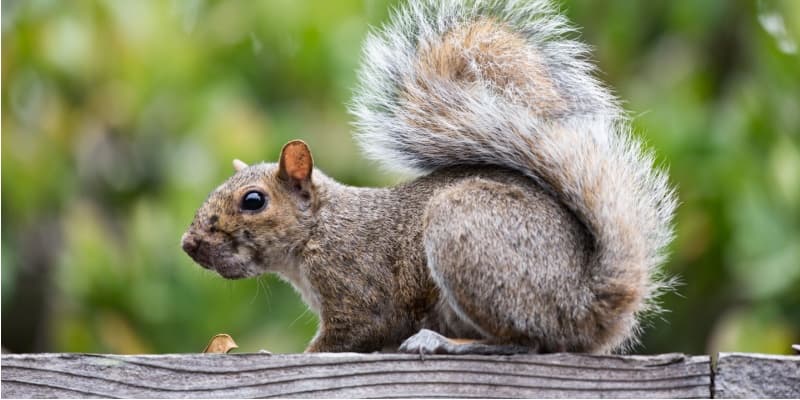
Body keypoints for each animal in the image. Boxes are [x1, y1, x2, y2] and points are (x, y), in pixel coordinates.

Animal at [181, 0, 677, 354]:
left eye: (253, 201)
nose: (189, 244)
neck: (319, 229)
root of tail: (587, 306)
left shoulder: (360, 292)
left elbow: (353, 333)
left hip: (465, 234)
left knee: (526, 342)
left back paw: (445, 342)